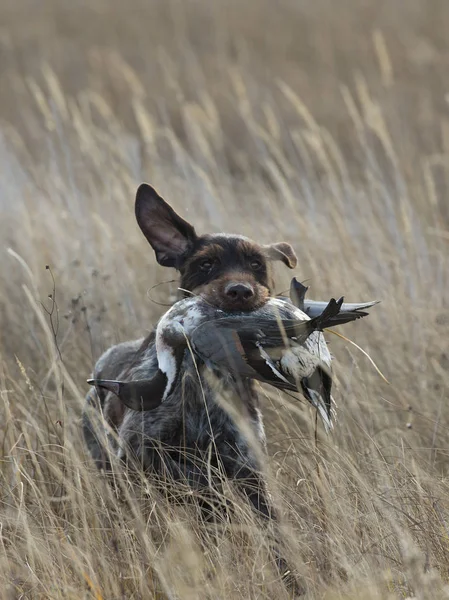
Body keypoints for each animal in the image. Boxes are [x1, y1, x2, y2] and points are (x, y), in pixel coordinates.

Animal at [82, 184, 300, 584]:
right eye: (206, 264)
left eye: (257, 265)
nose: (240, 291)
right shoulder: (137, 464)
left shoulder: (250, 477)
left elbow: (279, 547)